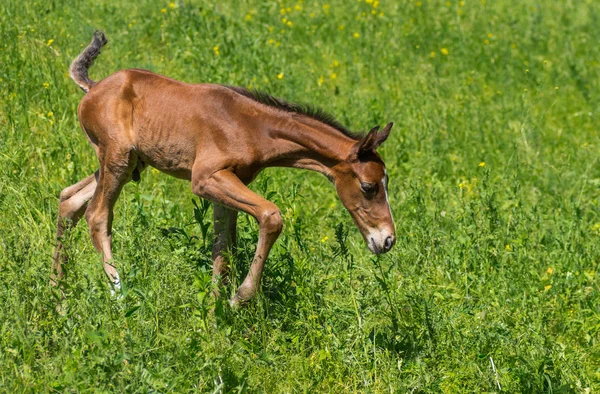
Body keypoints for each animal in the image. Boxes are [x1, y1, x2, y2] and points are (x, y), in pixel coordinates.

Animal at [54, 32, 396, 306]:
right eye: (369, 186)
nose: (387, 240)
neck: (253, 127)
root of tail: (92, 88)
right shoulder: (206, 179)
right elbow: (271, 217)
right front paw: (238, 298)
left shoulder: (228, 184)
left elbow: (223, 246)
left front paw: (216, 314)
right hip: (118, 159)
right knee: (97, 214)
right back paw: (118, 293)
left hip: (129, 164)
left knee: (69, 199)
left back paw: (59, 294)